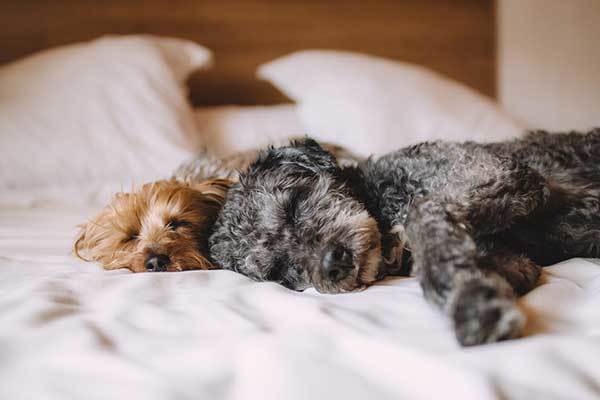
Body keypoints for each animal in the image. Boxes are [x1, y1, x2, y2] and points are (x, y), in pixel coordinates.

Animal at [210, 130, 600, 346]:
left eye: (293, 204)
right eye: (281, 271)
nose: (332, 264)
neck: (384, 196)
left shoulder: (500, 172)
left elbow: (421, 213)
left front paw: (473, 305)